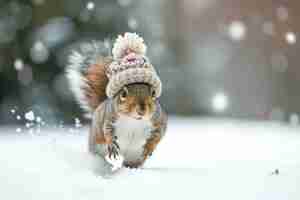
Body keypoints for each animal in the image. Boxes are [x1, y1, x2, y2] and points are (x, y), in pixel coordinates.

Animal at [66, 32, 168, 169]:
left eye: (153, 93)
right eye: (123, 94)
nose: (141, 110)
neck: (133, 121)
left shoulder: (159, 121)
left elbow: (158, 135)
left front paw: (148, 147)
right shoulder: (109, 118)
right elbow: (107, 132)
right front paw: (112, 145)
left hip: (135, 158)